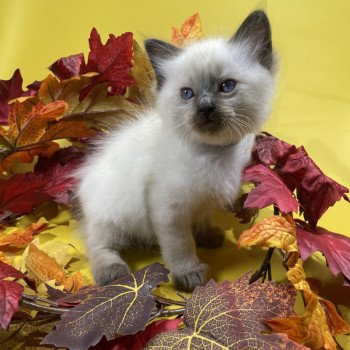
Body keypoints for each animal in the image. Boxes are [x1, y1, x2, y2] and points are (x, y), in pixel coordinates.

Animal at [76, 9, 276, 292]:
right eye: (187, 94)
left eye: (226, 86)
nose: (205, 108)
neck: (215, 153)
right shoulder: (169, 209)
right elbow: (181, 245)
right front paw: (189, 273)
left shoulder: (204, 199)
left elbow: (203, 217)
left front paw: (208, 235)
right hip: (111, 216)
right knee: (97, 242)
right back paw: (111, 270)